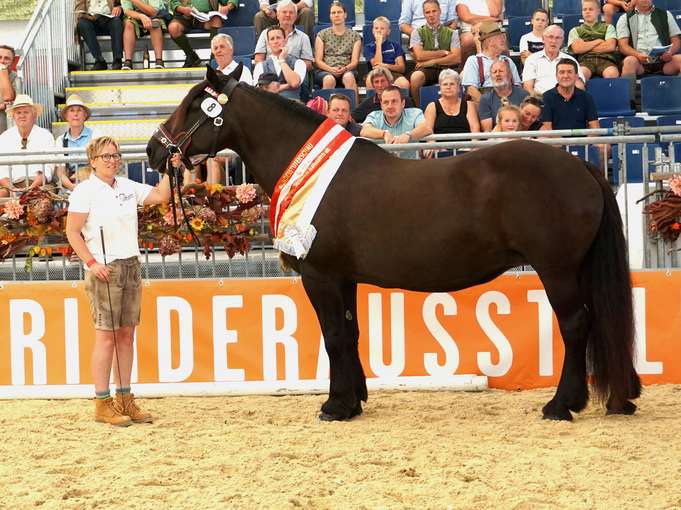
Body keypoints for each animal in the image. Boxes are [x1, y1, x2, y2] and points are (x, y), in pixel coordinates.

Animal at [146, 65, 640, 420]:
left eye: (194, 104)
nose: (153, 149)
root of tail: (582, 166)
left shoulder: (320, 276)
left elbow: (333, 336)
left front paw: (335, 406)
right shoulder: (343, 278)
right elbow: (350, 334)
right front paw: (354, 400)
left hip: (557, 270)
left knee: (575, 326)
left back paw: (561, 406)